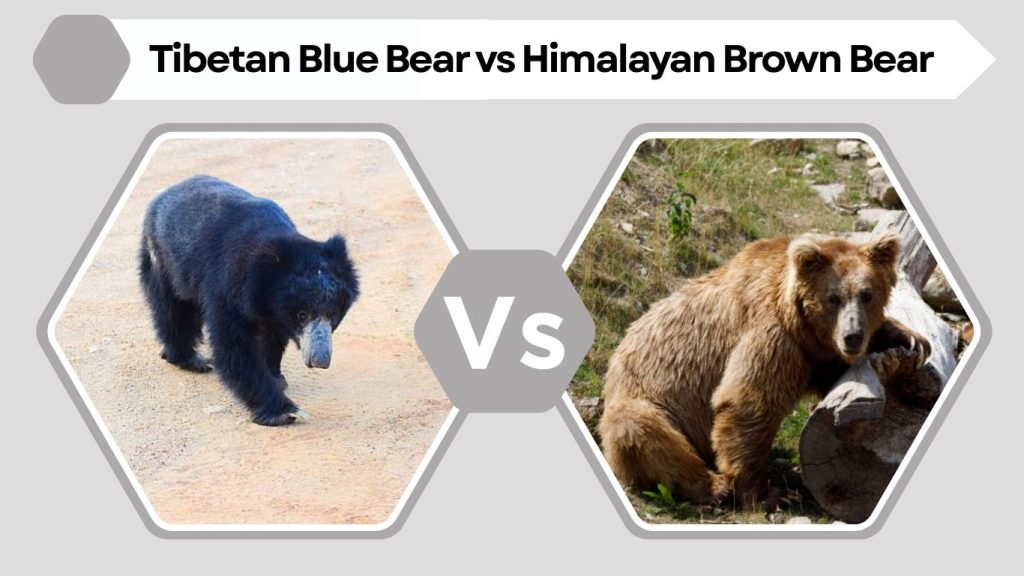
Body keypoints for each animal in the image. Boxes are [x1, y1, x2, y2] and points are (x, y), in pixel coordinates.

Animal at [138, 175, 359, 426]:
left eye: (333, 316)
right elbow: (234, 346)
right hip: (163, 258)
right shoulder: (227, 286)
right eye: (302, 315)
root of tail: (166, 192)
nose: (320, 360)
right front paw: (286, 411)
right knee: (173, 310)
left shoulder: (273, 309)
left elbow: (271, 338)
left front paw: (276, 376)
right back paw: (191, 359)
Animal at [597, 232, 930, 507]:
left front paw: (909, 338)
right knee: (640, 430)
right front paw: (769, 494)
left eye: (867, 294)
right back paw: (713, 486)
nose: (852, 336)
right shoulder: (772, 334)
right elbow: (749, 402)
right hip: (647, 401)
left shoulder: (811, 354)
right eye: (833, 298)